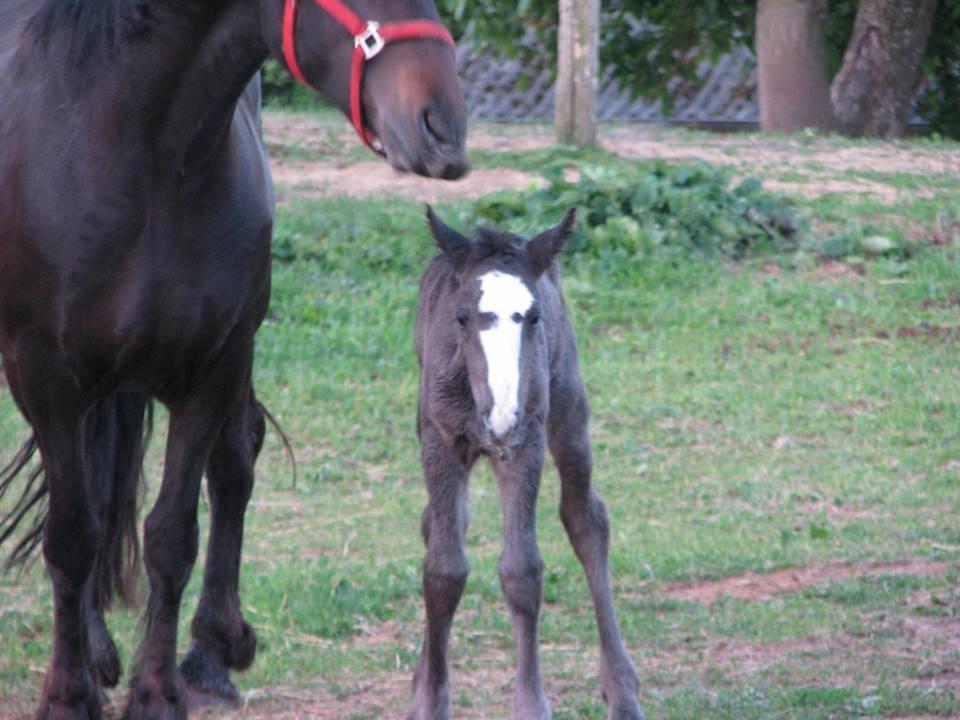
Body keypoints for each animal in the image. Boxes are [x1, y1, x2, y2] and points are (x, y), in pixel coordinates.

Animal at [0, 0, 466, 716]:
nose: (443, 128)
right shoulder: (47, 379)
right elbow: (72, 535)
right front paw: (70, 693)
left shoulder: (212, 371)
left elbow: (172, 535)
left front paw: (158, 691)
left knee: (229, 465)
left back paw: (210, 652)